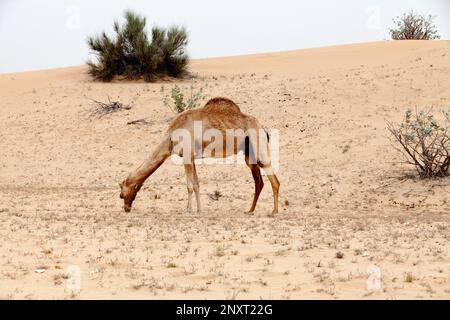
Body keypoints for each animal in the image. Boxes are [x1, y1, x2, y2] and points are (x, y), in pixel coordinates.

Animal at [121, 97, 280, 215]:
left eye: (122, 193)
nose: (126, 208)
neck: (171, 137)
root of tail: (263, 129)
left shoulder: (186, 156)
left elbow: (189, 186)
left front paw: (188, 210)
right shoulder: (191, 158)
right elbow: (196, 185)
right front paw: (199, 209)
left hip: (258, 147)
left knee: (273, 179)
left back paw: (274, 211)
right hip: (248, 154)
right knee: (259, 181)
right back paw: (250, 210)